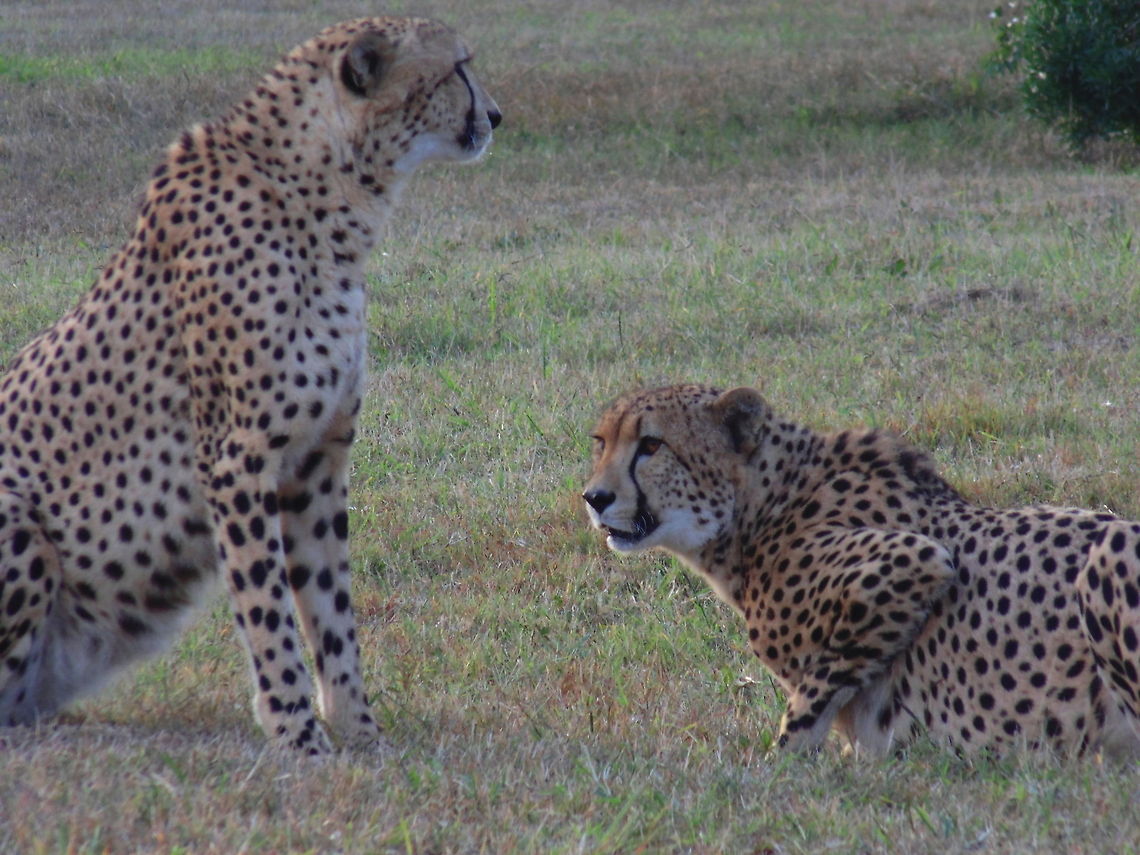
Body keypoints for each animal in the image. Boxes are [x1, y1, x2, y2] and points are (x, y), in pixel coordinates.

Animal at [0, 16, 500, 755]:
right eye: (456, 69)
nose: (495, 115)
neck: (324, 201)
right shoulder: (238, 460)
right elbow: (268, 609)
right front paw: (298, 734)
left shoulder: (317, 461)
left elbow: (330, 607)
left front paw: (360, 732)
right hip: (20, 521)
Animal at [583, 383, 1140, 758]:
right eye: (601, 442)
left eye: (652, 445)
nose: (594, 497)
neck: (763, 508)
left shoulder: (915, 560)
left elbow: (810, 702)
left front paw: (777, 764)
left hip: (1111, 550)